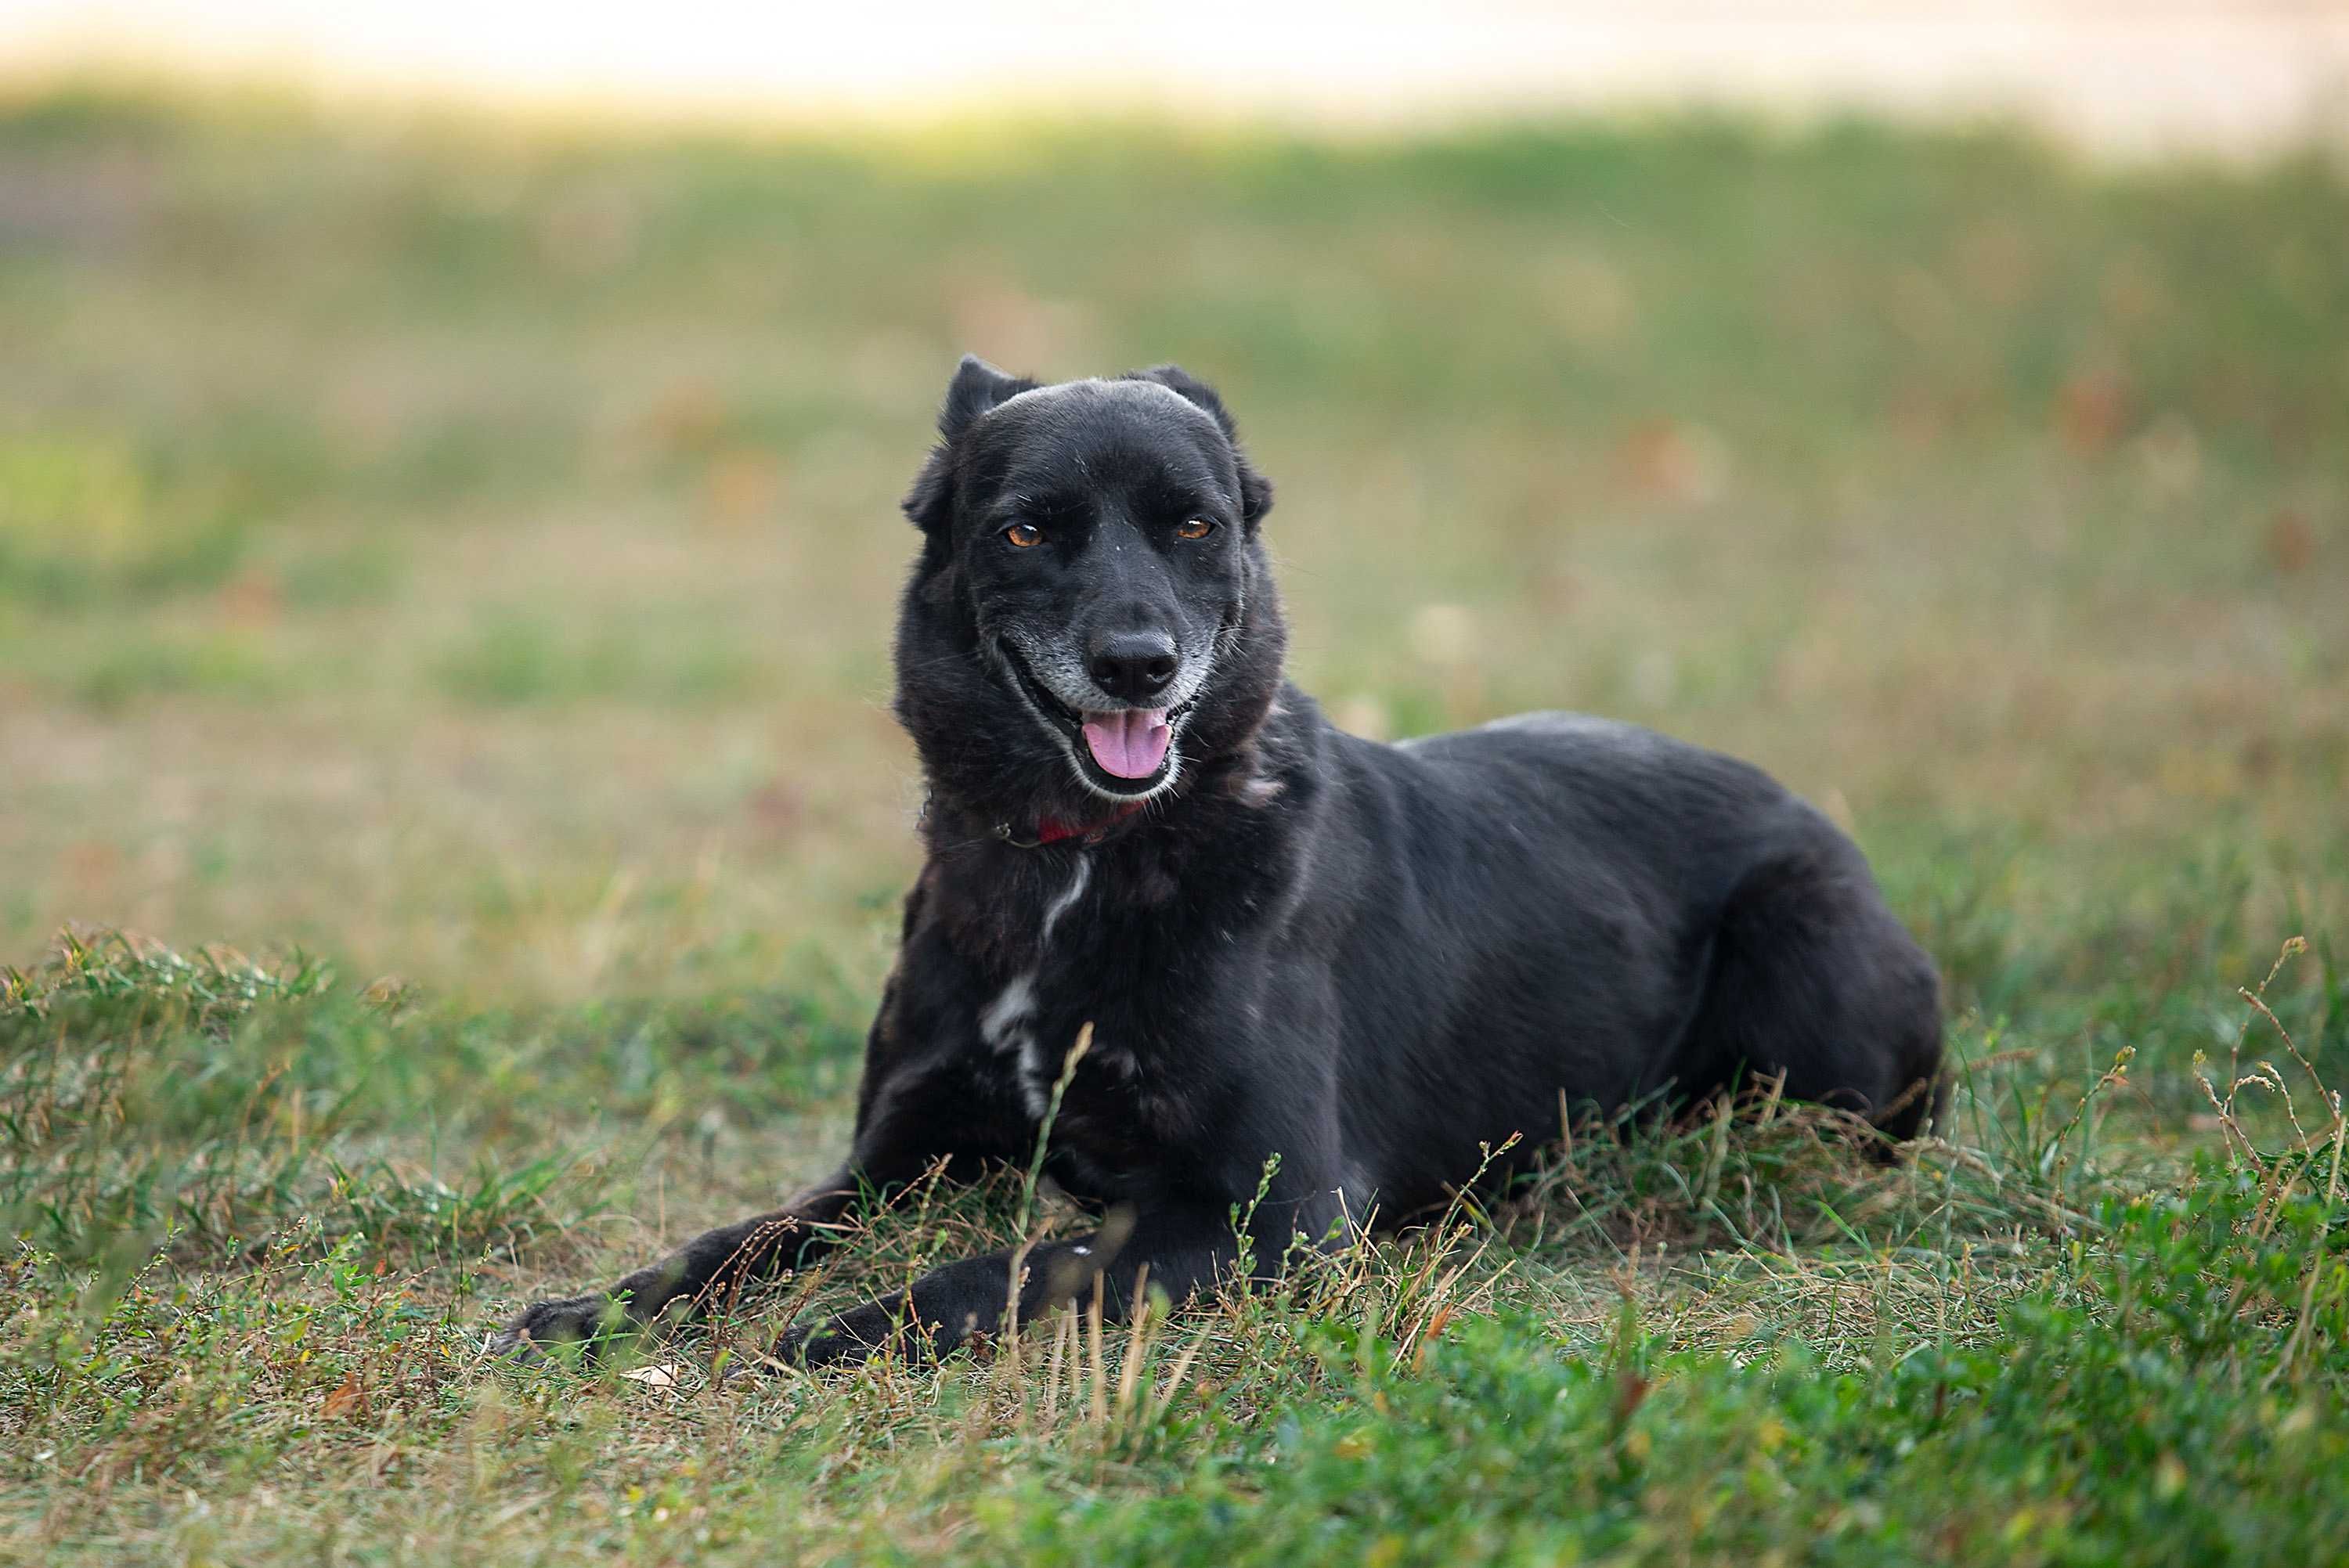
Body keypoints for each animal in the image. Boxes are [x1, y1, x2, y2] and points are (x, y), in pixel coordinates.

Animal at [500, 361, 1945, 1361]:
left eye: (1194, 526)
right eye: (1026, 529)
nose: (1138, 664)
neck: (1081, 865)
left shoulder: (1275, 1207)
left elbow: (1020, 1260)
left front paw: (852, 1327)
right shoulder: (893, 1160)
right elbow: (734, 1236)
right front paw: (594, 1309)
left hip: (1804, 966)